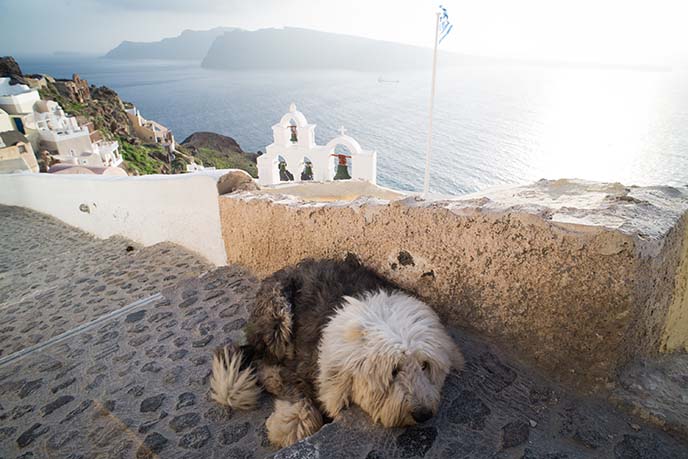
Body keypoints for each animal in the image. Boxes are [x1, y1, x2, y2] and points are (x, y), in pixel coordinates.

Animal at [210, 258, 462, 450]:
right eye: (393, 371)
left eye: (425, 365)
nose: (423, 414)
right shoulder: (307, 365)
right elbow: (299, 397)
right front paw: (289, 426)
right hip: (277, 315)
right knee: (262, 357)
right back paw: (272, 377)